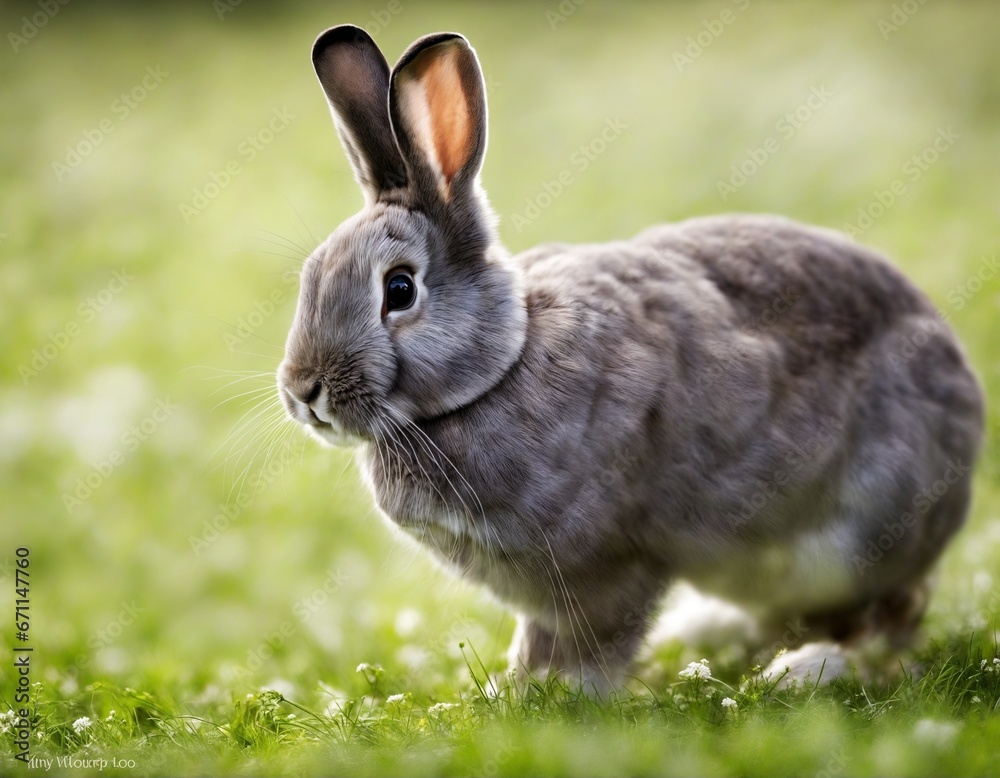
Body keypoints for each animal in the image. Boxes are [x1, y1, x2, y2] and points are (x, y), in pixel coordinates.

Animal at [276, 24, 985, 695]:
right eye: (312, 275)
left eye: (400, 289)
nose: (304, 391)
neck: (499, 368)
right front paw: (510, 689)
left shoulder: (610, 564)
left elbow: (590, 639)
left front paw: (552, 695)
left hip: (860, 536)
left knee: (889, 619)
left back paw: (804, 668)